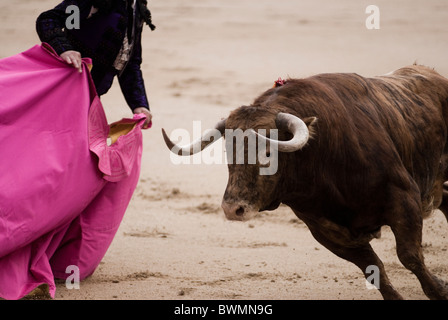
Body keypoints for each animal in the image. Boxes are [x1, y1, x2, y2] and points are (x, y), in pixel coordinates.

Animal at [163, 65, 448, 300]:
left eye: (268, 153)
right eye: (227, 152)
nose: (233, 209)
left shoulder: (403, 197)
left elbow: (410, 256)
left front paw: (439, 290)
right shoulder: (325, 230)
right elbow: (372, 268)